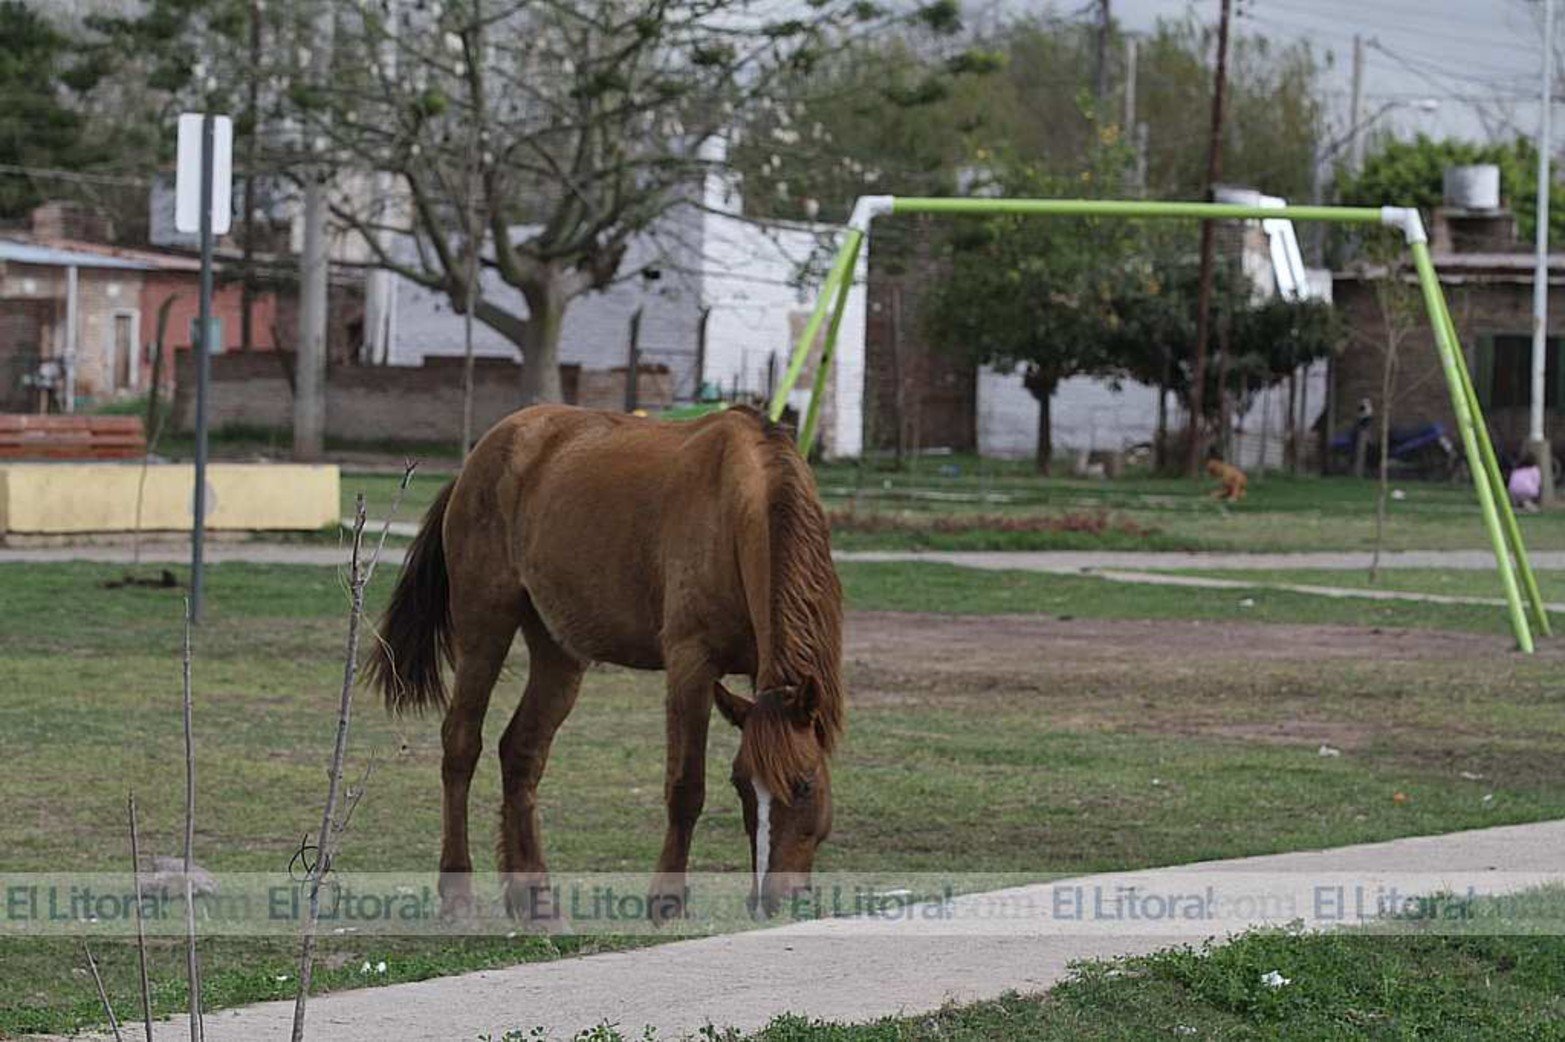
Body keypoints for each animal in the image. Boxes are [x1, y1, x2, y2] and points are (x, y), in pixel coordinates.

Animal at [366, 400, 845, 913]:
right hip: (484, 630)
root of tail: (482, 456)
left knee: (520, 753)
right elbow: (686, 786)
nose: (774, 899)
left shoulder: (760, 671)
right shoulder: (690, 664)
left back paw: (533, 895)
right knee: (461, 743)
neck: (741, 506)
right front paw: (666, 899)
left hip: (558, 650)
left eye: (805, 784)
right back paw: (457, 889)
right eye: (740, 784)